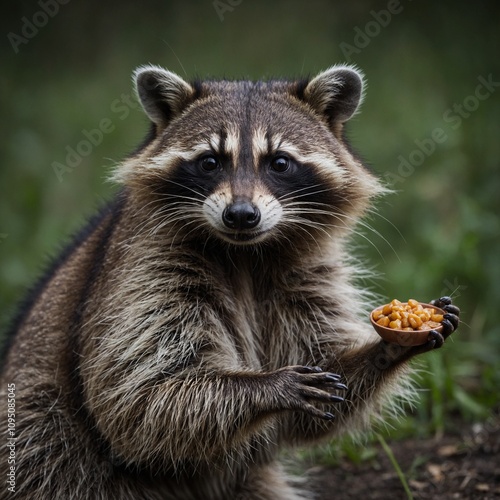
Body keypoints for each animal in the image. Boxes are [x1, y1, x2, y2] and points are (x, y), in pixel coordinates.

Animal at [0, 66, 460, 500]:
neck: (245, 254)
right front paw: (267, 387)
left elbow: (319, 390)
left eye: (279, 162)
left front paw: (390, 347)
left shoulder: (307, 271)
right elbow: (137, 398)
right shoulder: (143, 267)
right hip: (53, 444)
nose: (241, 215)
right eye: (209, 161)